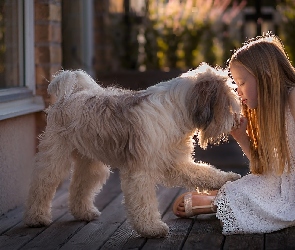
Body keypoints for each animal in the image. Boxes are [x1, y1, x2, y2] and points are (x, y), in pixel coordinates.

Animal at [24, 63, 242, 238]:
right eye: (228, 103)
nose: (236, 122)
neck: (176, 111)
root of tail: (68, 96)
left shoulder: (175, 163)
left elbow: (203, 172)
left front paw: (228, 178)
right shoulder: (141, 172)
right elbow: (144, 202)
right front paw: (151, 228)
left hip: (91, 164)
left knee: (80, 186)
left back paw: (84, 213)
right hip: (55, 158)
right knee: (41, 186)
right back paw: (37, 218)